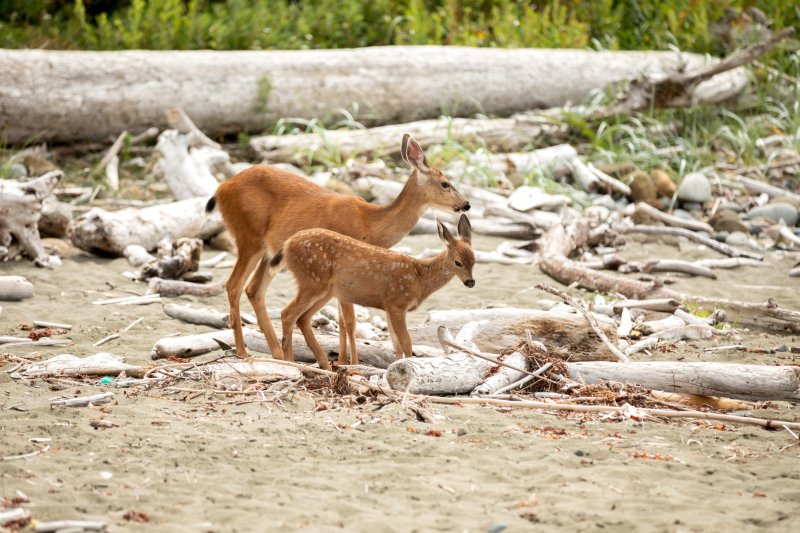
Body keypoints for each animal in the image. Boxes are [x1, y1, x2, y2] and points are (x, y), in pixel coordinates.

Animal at [276, 214, 476, 368]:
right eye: (458, 262)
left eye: (474, 260)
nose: (470, 282)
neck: (419, 278)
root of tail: (287, 245)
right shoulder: (397, 303)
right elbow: (407, 343)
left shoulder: (388, 306)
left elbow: (396, 345)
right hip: (312, 281)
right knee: (287, 313)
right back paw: (290, 362)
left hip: (325, 290)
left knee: (302, 318)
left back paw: (325, 364)